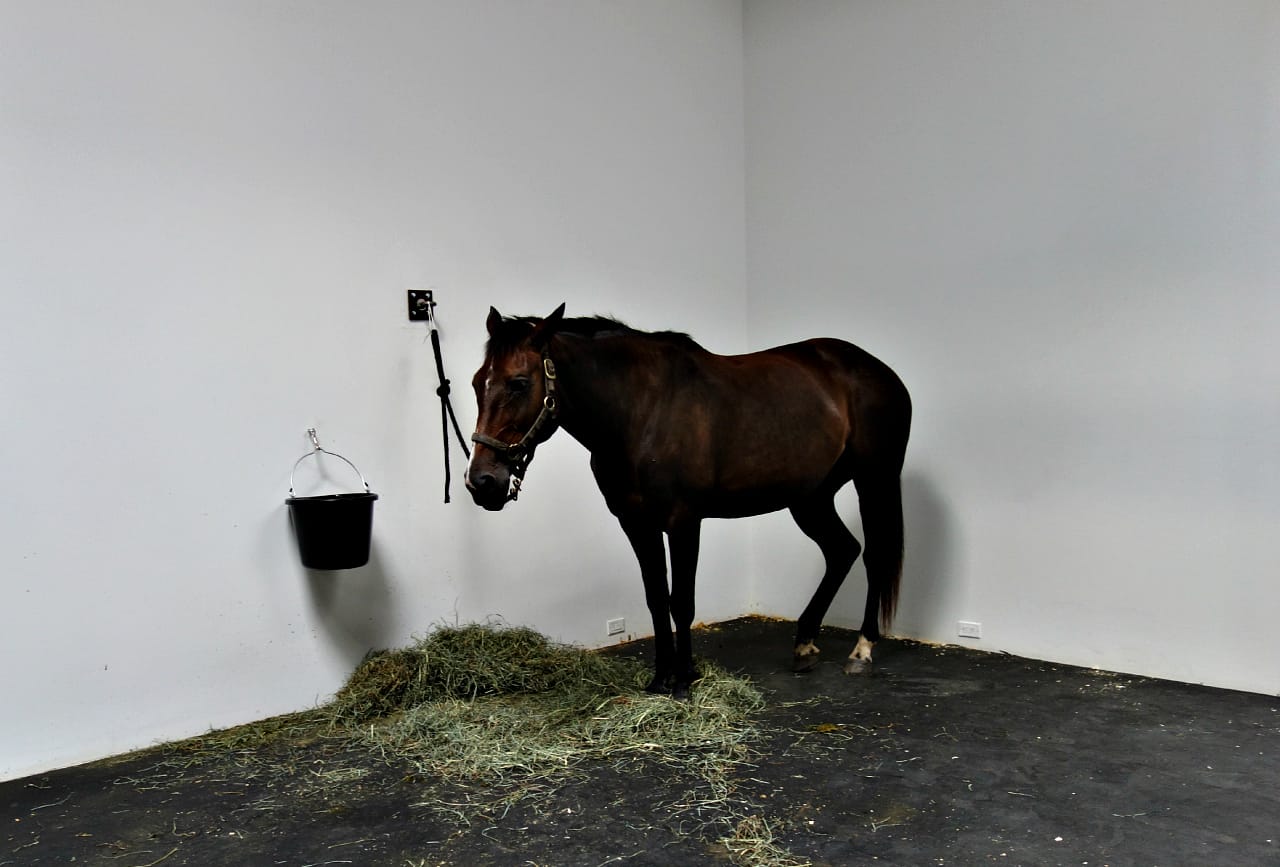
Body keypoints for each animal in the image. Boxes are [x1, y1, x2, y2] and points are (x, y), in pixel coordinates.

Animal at [466, 303, 911, 699]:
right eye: (476, 382)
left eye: (519, 383)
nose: (482, 482)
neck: (642, 412)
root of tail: (879, 371)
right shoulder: (635, 522)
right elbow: (655, 598)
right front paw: (660, 678)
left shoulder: (683, 521)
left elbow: (681, 601)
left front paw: (683, 681)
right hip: (810, 497)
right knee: (842, 551)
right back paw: (803, 645)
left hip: (875, 481)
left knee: (874, 555)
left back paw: (862, 651)